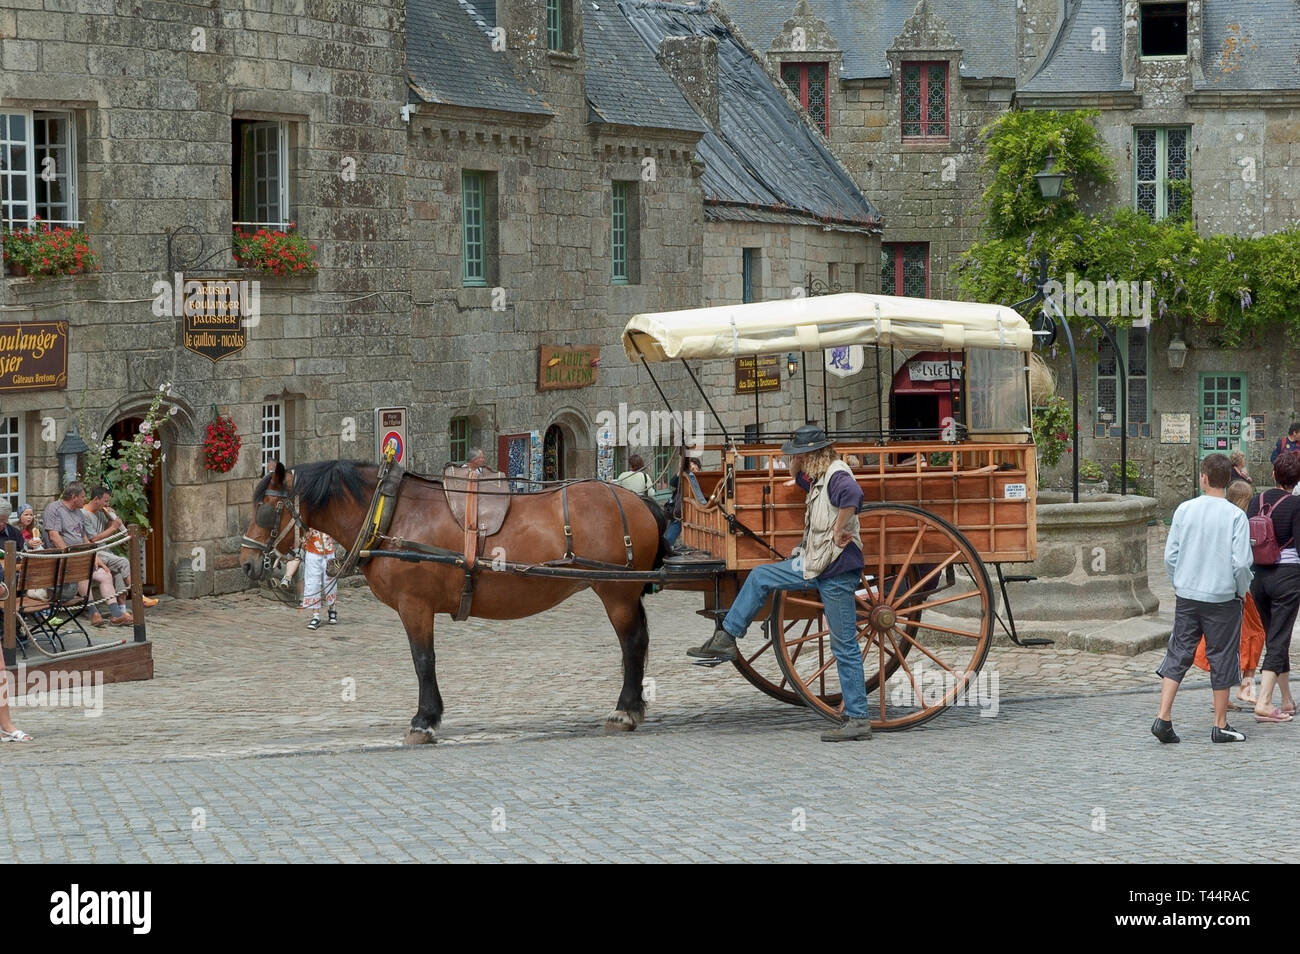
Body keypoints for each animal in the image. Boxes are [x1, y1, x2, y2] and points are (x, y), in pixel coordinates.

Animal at [239, 462, 665, 748]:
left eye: (264, 508)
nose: (246, 562)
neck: (391, 514)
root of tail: (637, 500)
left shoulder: (414, 605)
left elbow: (423, 661)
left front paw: (424, 720)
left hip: (616, 593)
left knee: (632, 645)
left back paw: (625, 710)